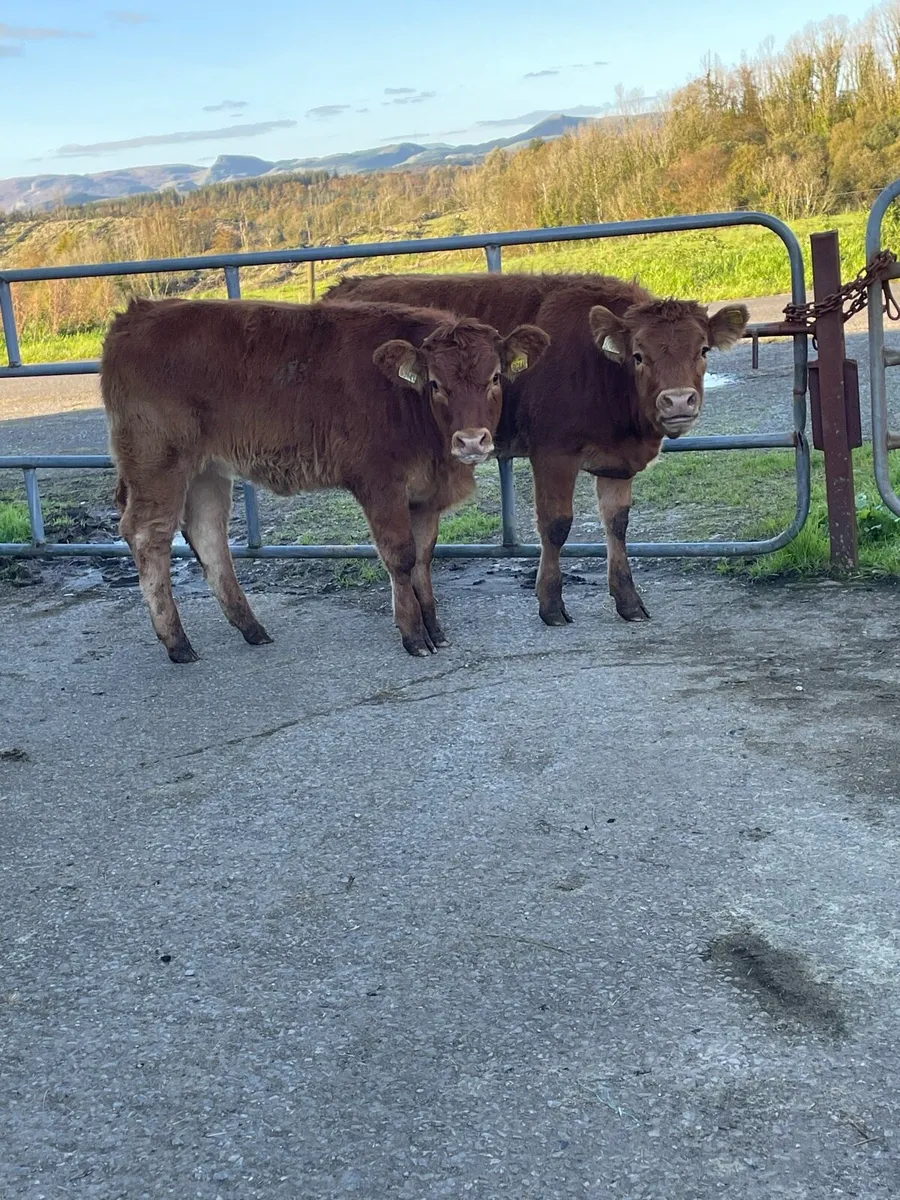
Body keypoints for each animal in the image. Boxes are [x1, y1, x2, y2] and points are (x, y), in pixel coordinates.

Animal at [101, 297, 548, 662]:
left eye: (495, 377)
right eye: (436, 384)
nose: (471, 440)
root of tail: (136, 314)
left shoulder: (424, 494)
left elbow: (423, 559)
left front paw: (435, 629)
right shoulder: (381, 483)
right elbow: (400, 556)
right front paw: (412, 635)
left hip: (207, 469)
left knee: (207, 533)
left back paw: (251, 628)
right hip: (157, 462)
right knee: (148, 534)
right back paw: (177, 642)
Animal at [324, 274, 748, 627]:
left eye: (703, 350)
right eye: (639, 355)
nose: (677, 401)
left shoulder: (616, 464)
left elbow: (617, 524)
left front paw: (628, 601)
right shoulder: (553, 452)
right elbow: (556, 526)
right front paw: (551, 605)